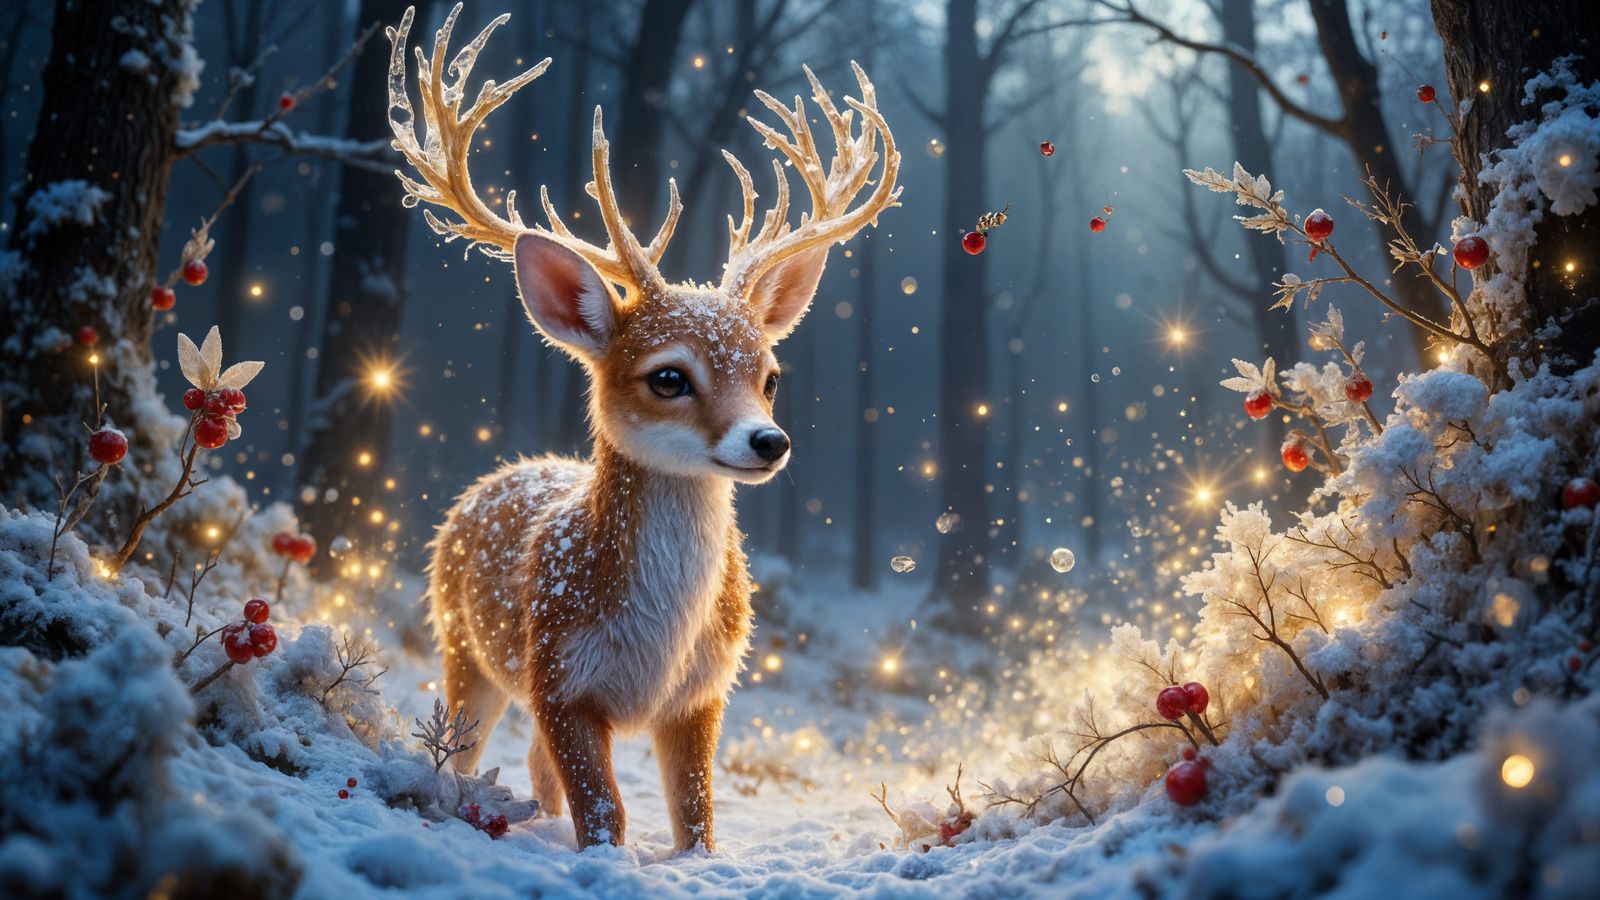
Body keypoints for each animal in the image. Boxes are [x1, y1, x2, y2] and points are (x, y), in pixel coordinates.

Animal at [387, 5, 899, 852]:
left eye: (770, 377)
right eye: (669, 377)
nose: (768, 441)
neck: (653, 649)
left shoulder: (704, 692)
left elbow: (695, 815)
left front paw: (690, 859)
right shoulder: (558, 676)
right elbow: (606, 812)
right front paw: (603, 858)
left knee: (532, 766)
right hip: (464, 642)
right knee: (464, 742)